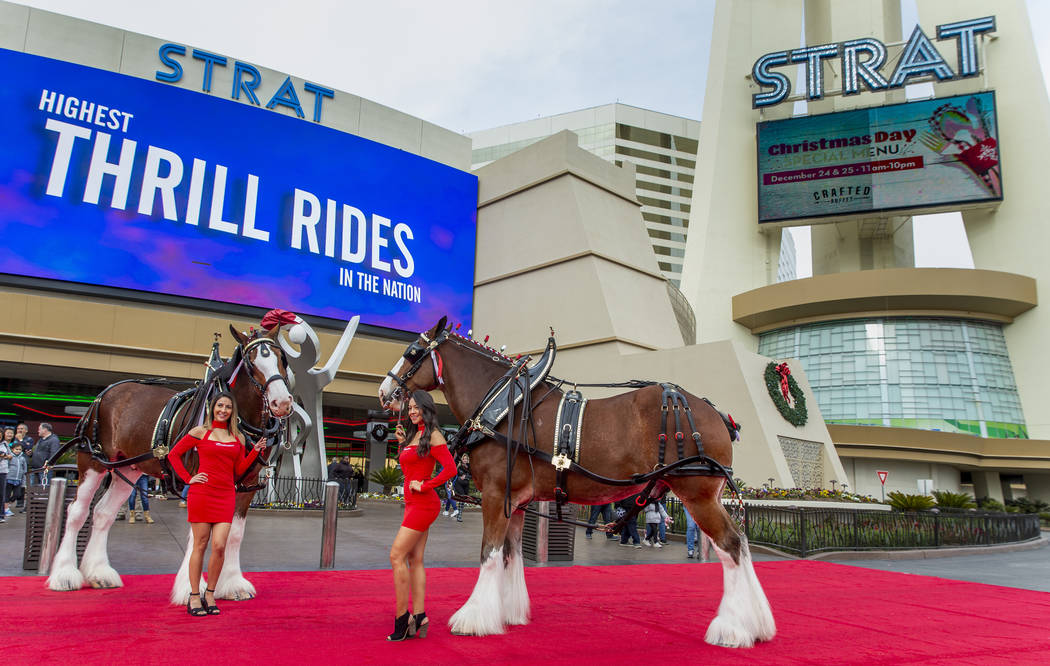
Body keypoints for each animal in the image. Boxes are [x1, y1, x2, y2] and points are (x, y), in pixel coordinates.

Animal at [46, 323, 294, 600]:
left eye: (281, 357)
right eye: (252, 362)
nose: (282, 402)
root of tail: (107, 392)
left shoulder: (246, 485)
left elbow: (234, 534)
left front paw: (232, 583)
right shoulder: (199, 480)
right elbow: (198, 534)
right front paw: (190, 589)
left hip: (129, 467)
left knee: (103, 513)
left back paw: (99, 573)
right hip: (93, 461)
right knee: (77, 511)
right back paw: (64, 575)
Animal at [382, 317, 776, 642]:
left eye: (412, 351)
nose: (385, 391)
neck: (505, 407)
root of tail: (714, 412)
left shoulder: (495, 495)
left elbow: (489, 553)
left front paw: (474, 618)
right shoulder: (517, 501)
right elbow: (511, 554)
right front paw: (508, 613)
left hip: (698, 495)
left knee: (732, 546)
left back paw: (733, 627)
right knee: (740, 543)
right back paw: (756, 624)